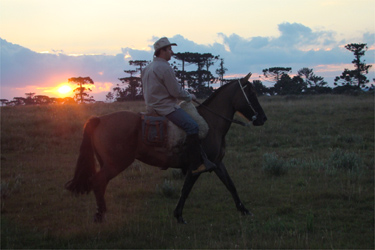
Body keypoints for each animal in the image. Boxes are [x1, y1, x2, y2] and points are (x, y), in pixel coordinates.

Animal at [66, 72, 268, 223]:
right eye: (251, 93)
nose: (263, 118)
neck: (211, 123)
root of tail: (99, 120)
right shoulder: (197, 165)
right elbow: (186, 189)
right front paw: (179, 215)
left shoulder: (217, 163)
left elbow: (231, 185)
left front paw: (244, 210)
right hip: (115, 164)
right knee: (98, 182)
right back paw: (100, 215)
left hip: (107, 163)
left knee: (100, 184)